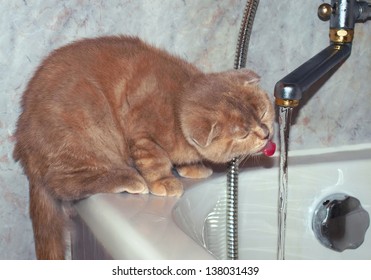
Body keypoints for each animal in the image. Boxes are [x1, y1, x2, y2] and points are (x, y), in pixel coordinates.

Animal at [13, 35, 276, 260]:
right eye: (243, 134)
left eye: (263, 111)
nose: (266, 133)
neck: (176, 104)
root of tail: (25, 149)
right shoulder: (143, 136)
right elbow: (155, 162)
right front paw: (164, 181)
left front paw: (192, 167)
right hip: (85, 135)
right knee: (64, 184)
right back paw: (127, 177)